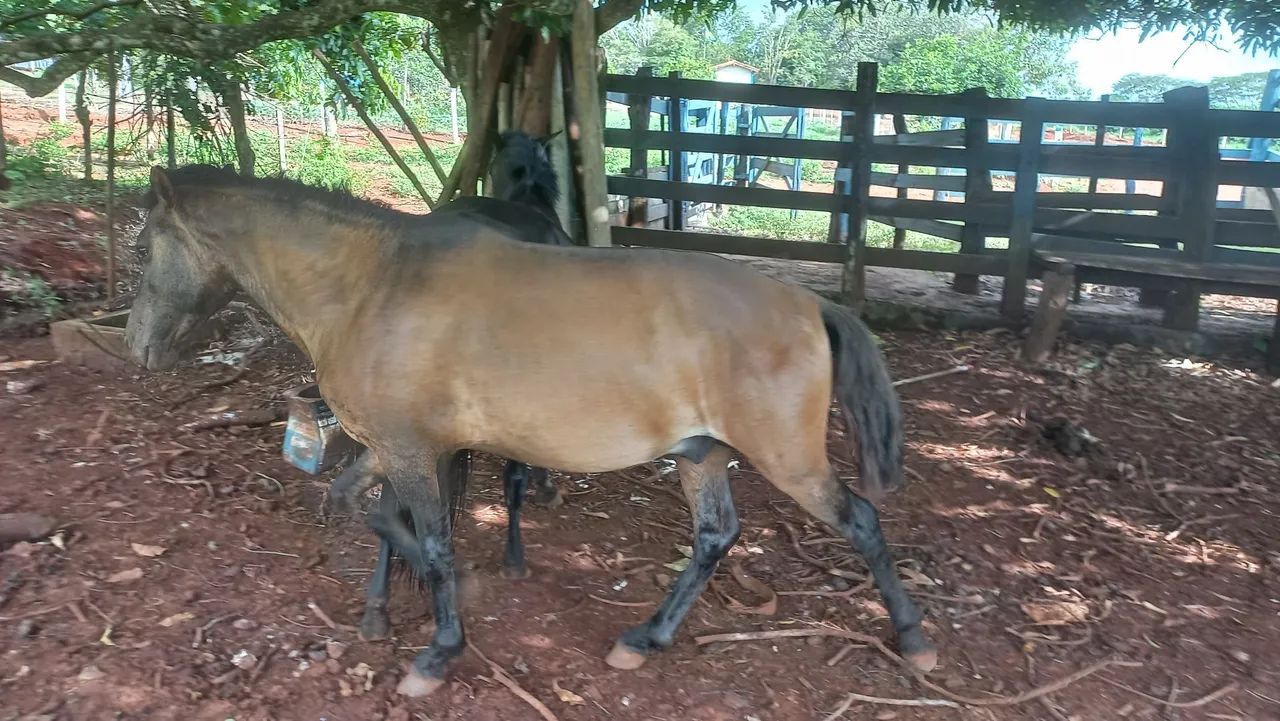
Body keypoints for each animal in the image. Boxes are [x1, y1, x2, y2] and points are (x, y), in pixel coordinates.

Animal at [124, 164, 936, 697]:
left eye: (141, 248)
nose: (137, 347)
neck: (373, 286)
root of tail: (809, 304)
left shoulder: (411, 452)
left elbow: (434, 539)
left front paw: (440, 646)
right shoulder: (394, 448)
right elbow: (364, 508)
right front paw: (409, 598)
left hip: (787, 460)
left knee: (861, 521)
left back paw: (913, 637)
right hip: (701, 455)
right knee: (715, 536)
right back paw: (644, 638)